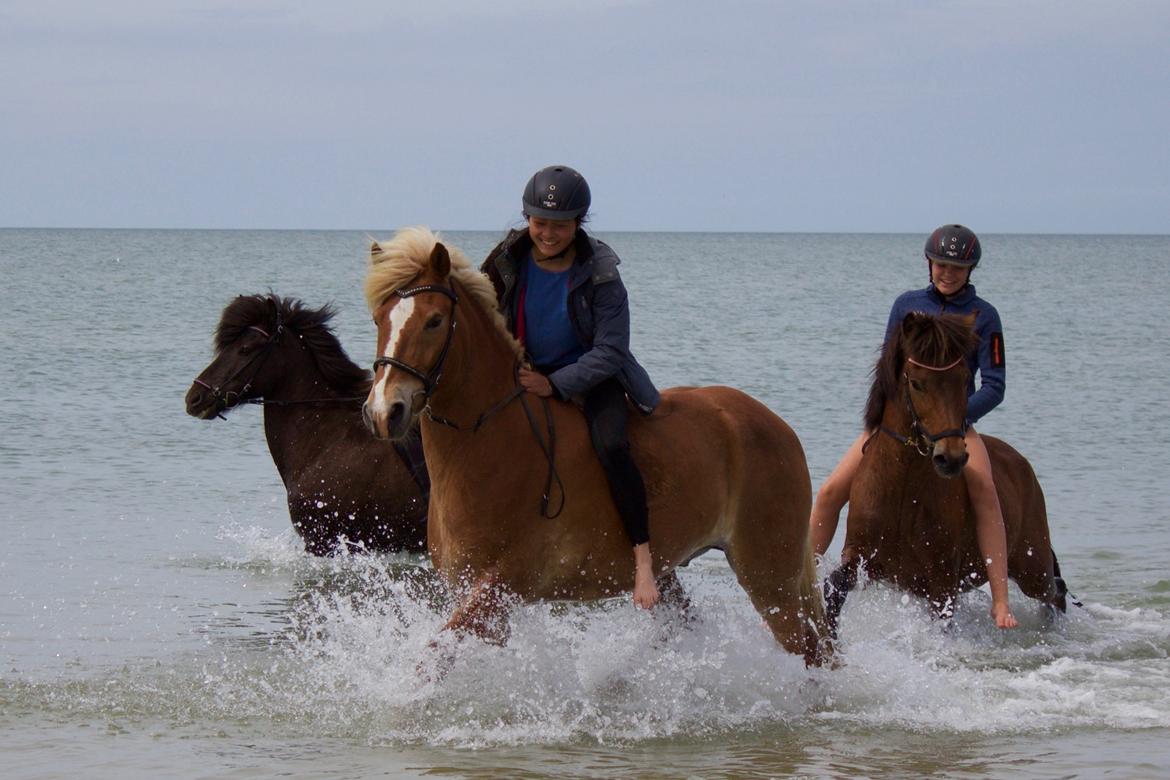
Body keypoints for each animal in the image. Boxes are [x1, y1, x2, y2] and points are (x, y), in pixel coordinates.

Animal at [360, 225, 828, 664]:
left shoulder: (500, 587)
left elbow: (431, 659)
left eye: (434, 321)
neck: (492, 443)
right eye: (379, 319)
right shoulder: (476, 597)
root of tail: (778, 426)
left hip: (770, 575)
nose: (385, 412)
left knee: (812, 650)